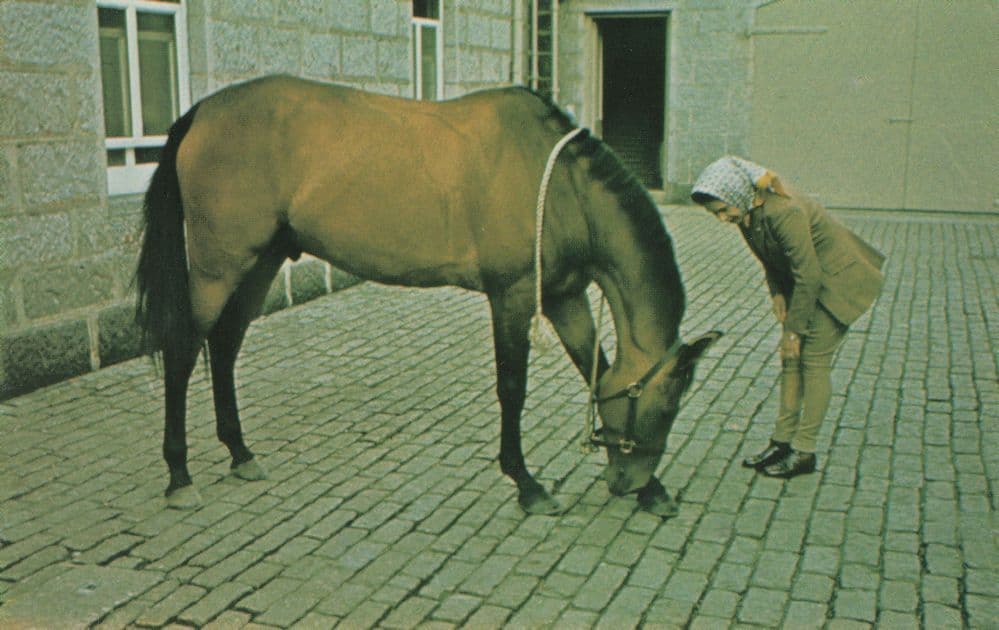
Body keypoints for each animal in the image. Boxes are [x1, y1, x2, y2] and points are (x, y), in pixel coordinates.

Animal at [135, 75, 721, 515]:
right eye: (666, 404)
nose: (629, 481)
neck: (558, 186)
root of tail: (201, 114)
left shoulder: (563, 296)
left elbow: (593, 367)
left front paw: (654, 491)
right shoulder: (512, 296)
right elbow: (513, 388)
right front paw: (527, 484)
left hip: (261, 261)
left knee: (225, 345)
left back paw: (239, 452)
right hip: (219, 265)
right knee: (184, 350)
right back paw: (180, 475)